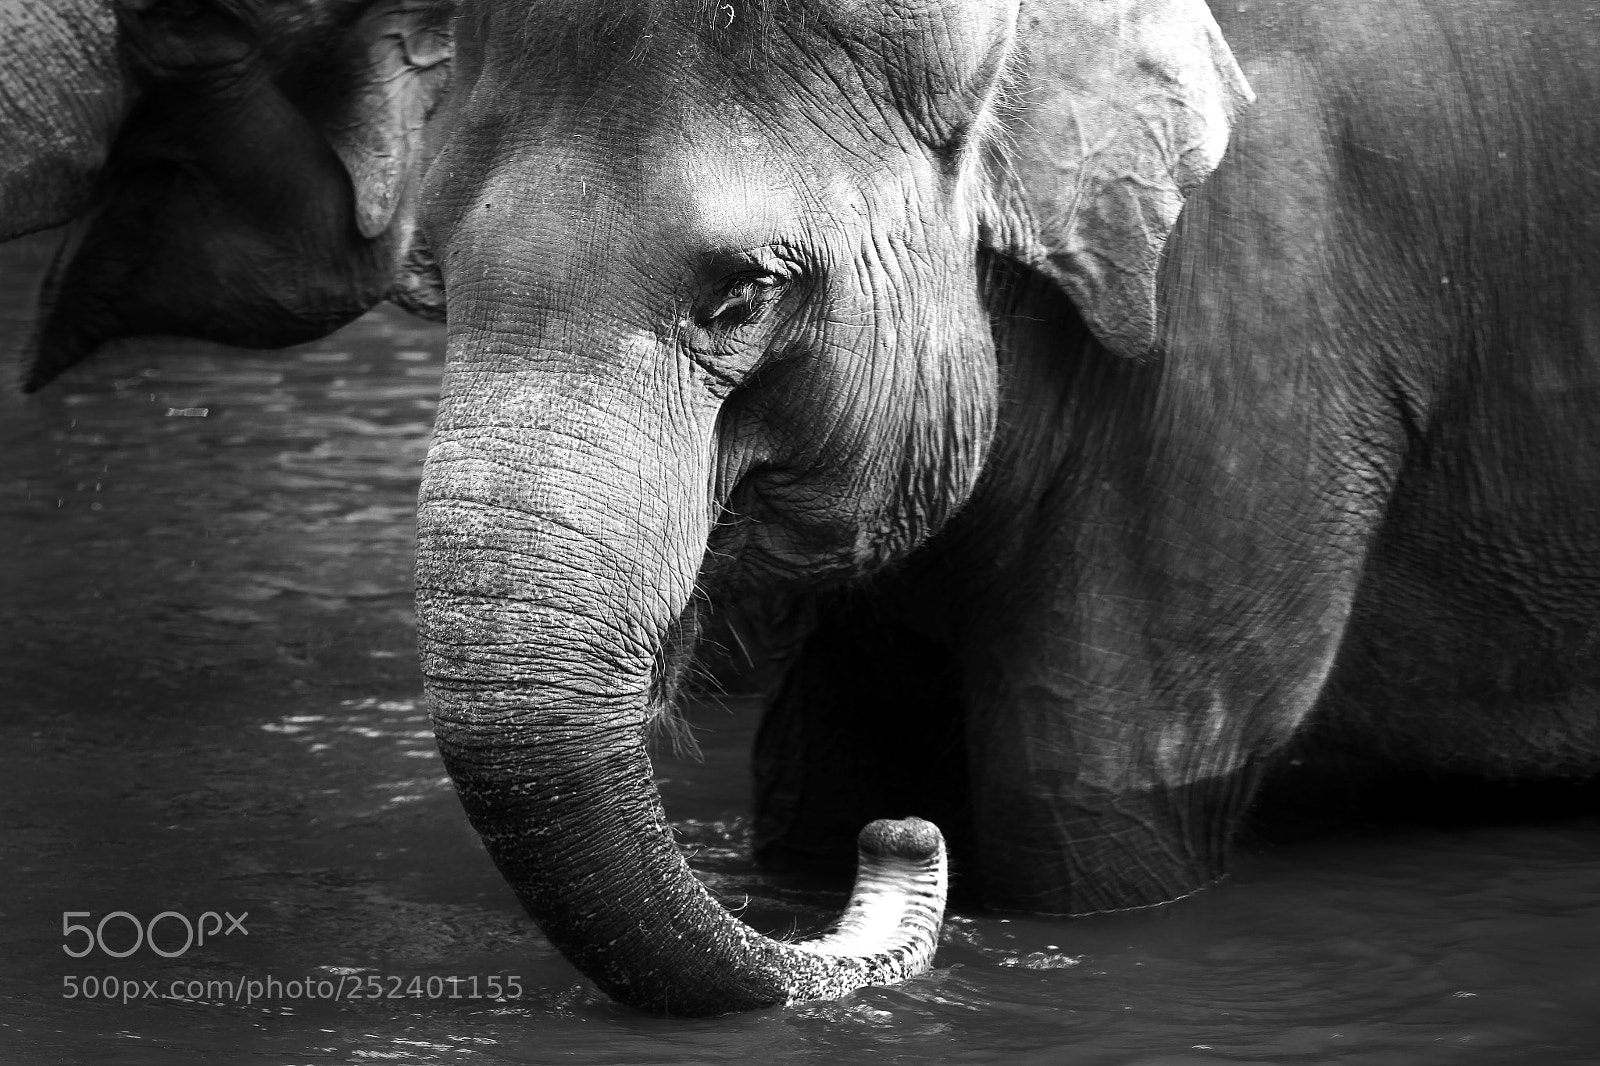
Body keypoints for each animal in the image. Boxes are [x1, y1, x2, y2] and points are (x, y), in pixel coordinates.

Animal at [407, 0, 1600, 1016]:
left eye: (742, 295)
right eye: (436, 280)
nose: (900, 836)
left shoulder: (1256, 347)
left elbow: (1086, 805)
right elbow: (813, 772)